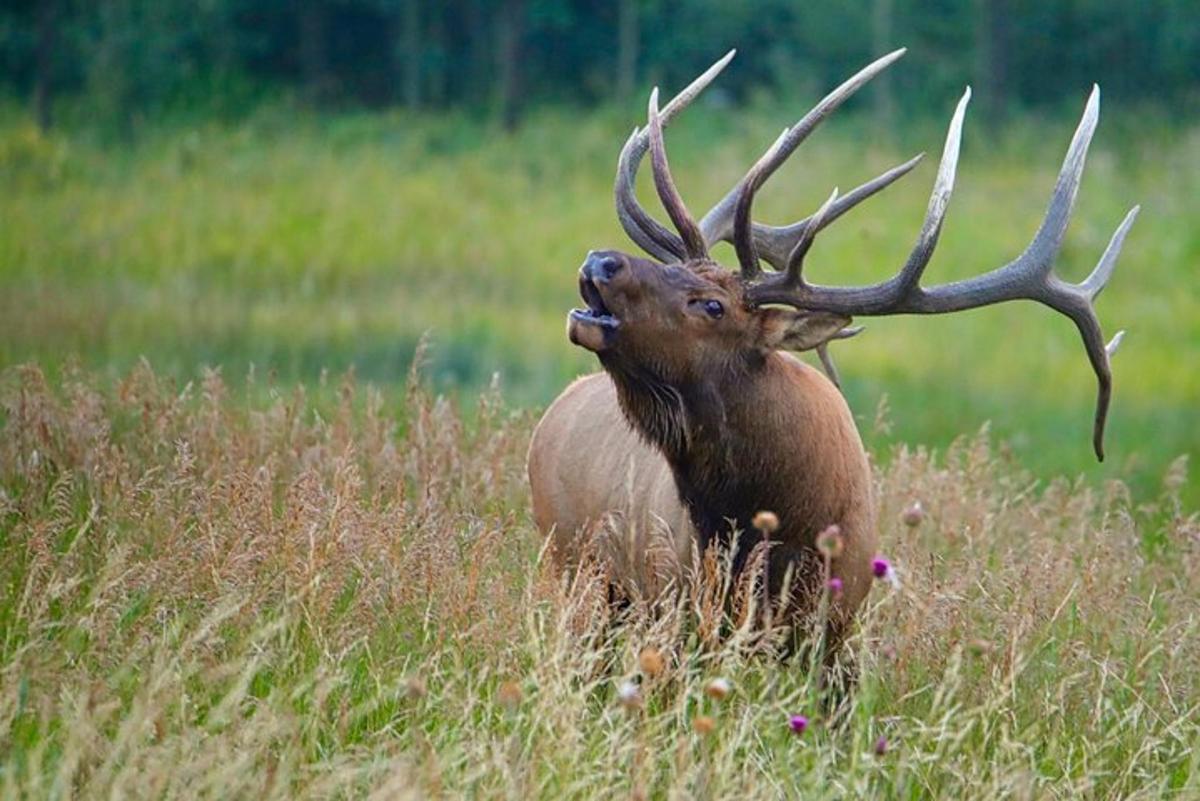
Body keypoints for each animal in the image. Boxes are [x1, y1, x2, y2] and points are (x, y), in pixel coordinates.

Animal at [528, 50, 1132, 647]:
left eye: (714, 306)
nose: (601, 261)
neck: (775, 527)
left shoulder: (837, 628)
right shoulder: (678, 608)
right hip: (576, 571)